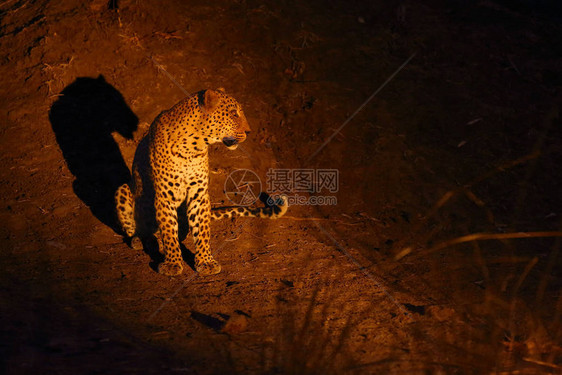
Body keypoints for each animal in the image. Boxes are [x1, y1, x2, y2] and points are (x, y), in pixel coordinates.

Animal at [115, 88, 286, 276]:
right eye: (234, 114)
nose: (249, 131)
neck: (192, 147)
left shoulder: (199, 193)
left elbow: (202, 230)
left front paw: (205, 261)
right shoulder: (164, 195)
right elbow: (169, 230)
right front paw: (172, 263)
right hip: (123, 189)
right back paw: (141, 239)